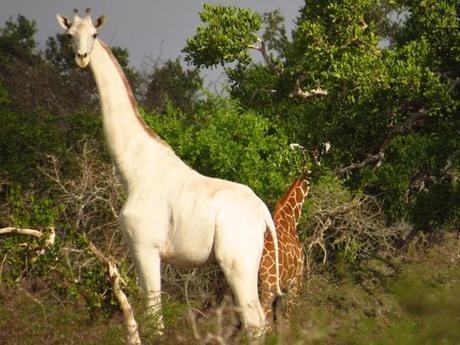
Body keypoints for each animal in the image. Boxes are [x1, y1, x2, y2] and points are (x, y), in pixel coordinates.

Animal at [55, 10, 282, 334]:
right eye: (70, 35)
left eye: (95, 35)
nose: (82, 58)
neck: (135, 170)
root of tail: (264, 214)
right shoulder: (135, 250)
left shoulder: (146, 246)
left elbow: (155, 318)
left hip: (237, 262)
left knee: (255, 322)